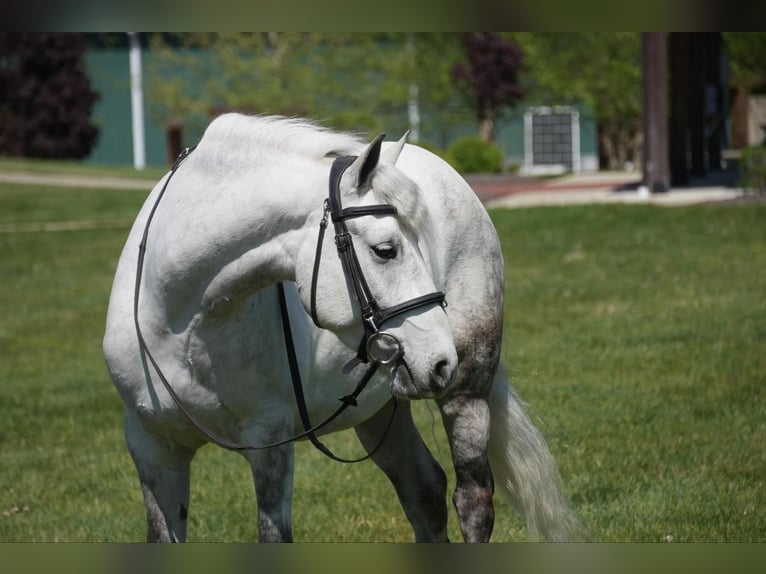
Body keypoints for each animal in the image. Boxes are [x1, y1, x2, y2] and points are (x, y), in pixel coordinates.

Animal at [103, 113, 584, 544]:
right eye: (386, 249)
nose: (442, 359)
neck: (183, 322)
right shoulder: (151, 447)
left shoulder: (270, 443)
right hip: (381, 407)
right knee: (424, 490)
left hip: (466, 394)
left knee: (473, 502)